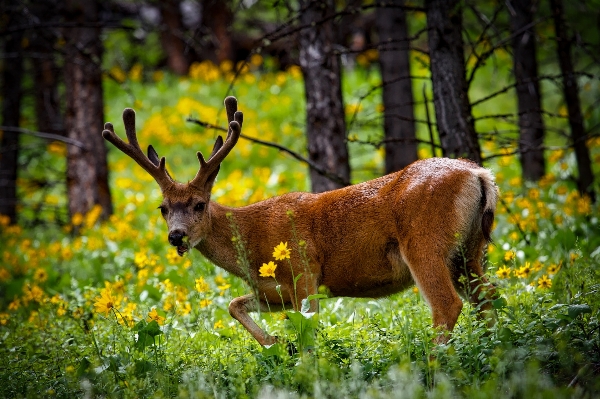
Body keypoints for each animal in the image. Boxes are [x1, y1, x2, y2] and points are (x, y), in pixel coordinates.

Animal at [101, 96, 500, 346]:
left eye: (199, 204)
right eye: (163, 208)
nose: (177, 236)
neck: (251, 243)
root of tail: (479, 174)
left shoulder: (304, 272)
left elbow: (308, 334)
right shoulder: (274, 291)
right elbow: (233, 305)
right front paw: (274, 342)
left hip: (424, 243)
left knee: (448, 305)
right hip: (469, 250)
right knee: (489, 297)